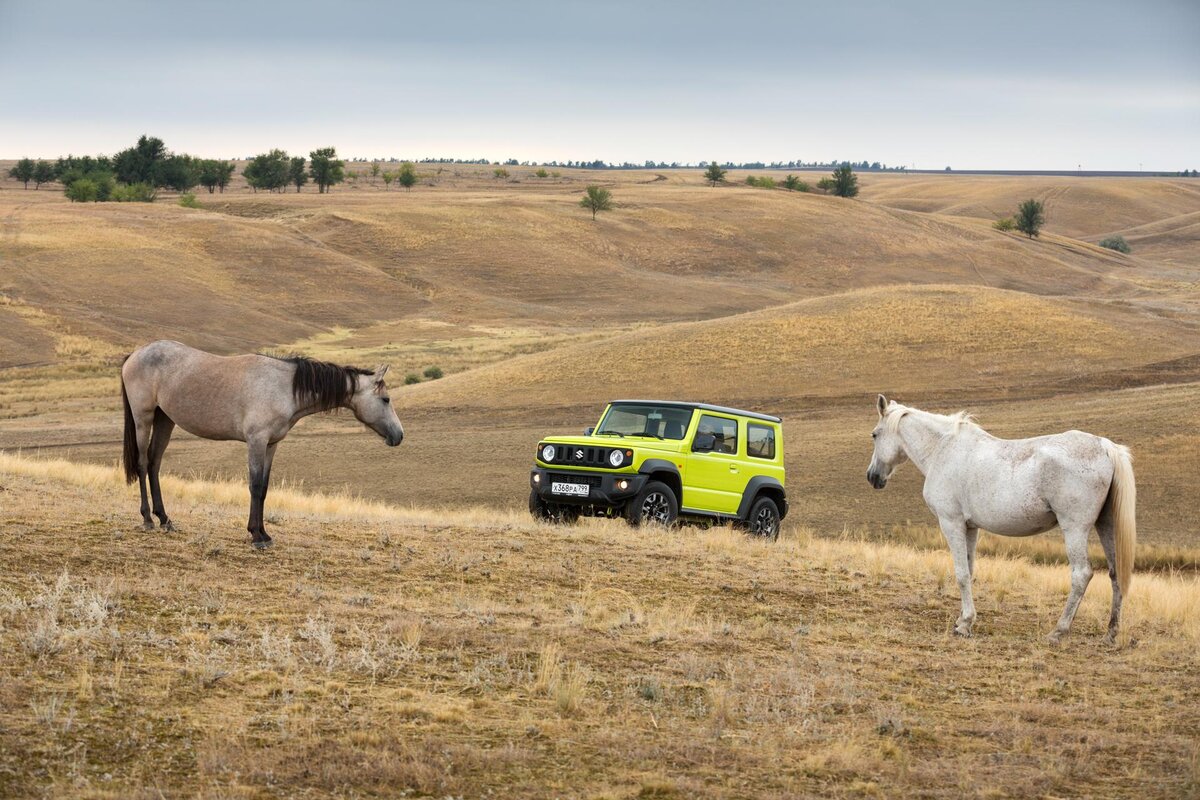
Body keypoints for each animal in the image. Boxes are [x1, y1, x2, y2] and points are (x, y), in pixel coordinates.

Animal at [121, 338, 405, 551]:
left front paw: (263, 533)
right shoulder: (256, 442)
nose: (399, 435)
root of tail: (134, 354)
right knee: (143, 463)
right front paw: (256, 537)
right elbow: (255, 486)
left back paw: (165, 519)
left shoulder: (271, 444)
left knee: (155, 463)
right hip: (144, 418)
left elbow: (265, 487)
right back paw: (147, 518)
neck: (283, 387)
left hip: (165, 419)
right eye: (386, 399)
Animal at [864, 393, 1132, 642]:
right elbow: (970, 570)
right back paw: (1111, 633)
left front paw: (964, 625)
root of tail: (1105, 446)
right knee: (1115, 572)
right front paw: (963, 620)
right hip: (1105, 526)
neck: (942, 450)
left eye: (875, 435)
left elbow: (961, 574)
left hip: (1075, 529)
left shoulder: (951, 523)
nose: (872, 477)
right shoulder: (970, 527)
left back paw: (1059, 631)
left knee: (1081, 575)